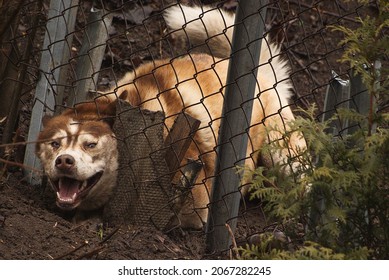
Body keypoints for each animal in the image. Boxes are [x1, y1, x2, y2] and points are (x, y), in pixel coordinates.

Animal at [34, 4, 304, 229]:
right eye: (55, 144)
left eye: (90, 144)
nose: (64, 161)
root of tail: (261, 73)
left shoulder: (196, 202)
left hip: (281, 155)